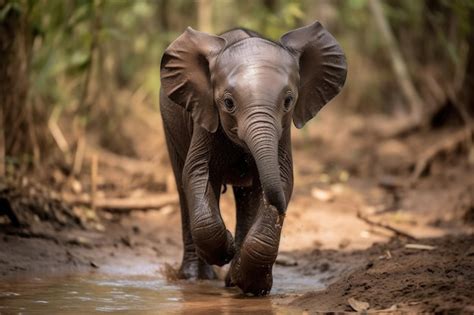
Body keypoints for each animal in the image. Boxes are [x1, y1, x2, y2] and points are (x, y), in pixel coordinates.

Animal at [159, 20, 344, 296]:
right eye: (228, 103)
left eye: (288, 101)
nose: (282, 213)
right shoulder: (205, 115)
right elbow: (197, 172)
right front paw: (227, 250)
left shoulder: (282, 132)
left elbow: (282, 178)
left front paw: (251, 286)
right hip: (171, 125)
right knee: (183, 186)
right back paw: (195, 278)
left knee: (248, 197)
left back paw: (230, 279)